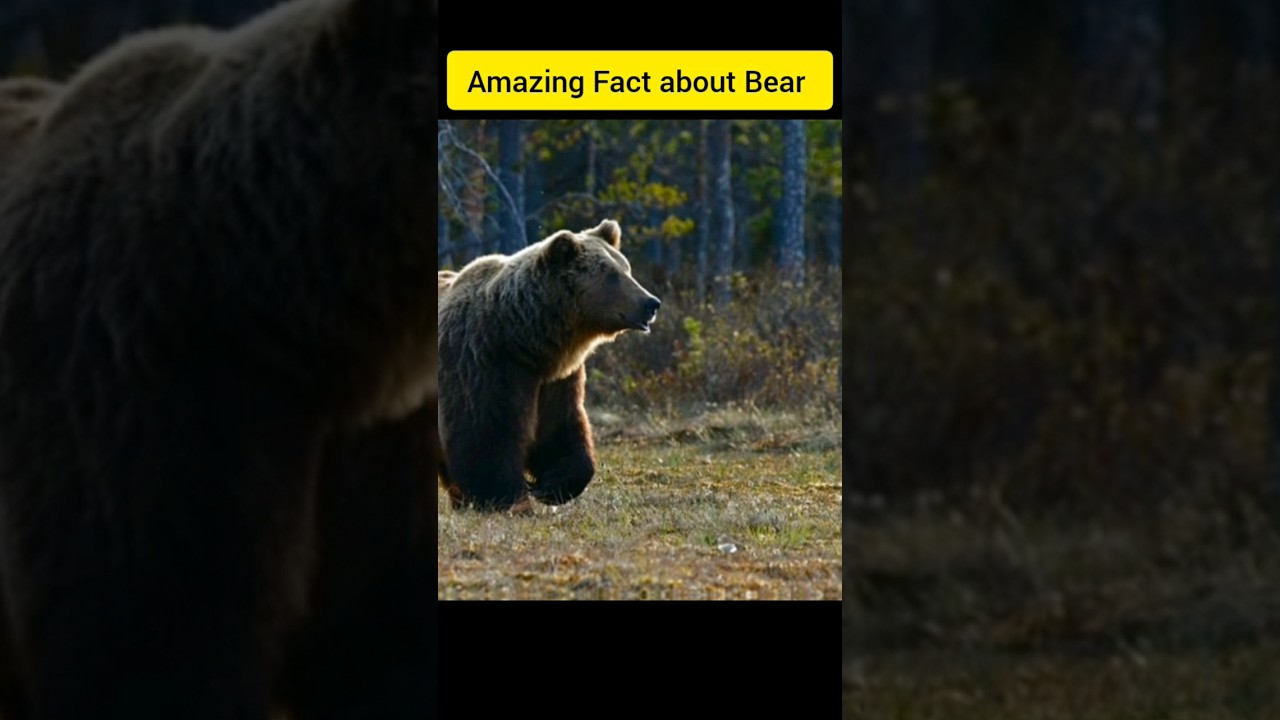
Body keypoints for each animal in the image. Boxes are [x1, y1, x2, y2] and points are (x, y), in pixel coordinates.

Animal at [437, 219, 661, 512]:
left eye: (627, 268)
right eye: (612, 275)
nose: (652, 303)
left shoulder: (555, 380)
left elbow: (560, 429)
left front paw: (551, 486)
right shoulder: (484, 364)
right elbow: (487, 434)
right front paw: (506, 498)